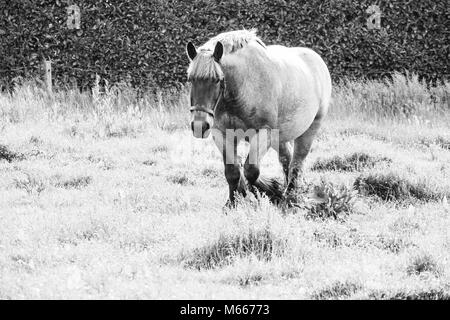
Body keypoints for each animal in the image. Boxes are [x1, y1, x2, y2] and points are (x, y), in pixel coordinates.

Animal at [185, 30, 330, 208]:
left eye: (217, 80)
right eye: (190, 79)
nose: (200, 126)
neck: (243, 86)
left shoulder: (263, 133)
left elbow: (251, 171)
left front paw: (271, 192)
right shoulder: (222, 134)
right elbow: (233, 172)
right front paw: (232, 203)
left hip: (309, 130)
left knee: (296, 163)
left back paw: (290, 198)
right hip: (280, 138)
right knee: (286, 159)